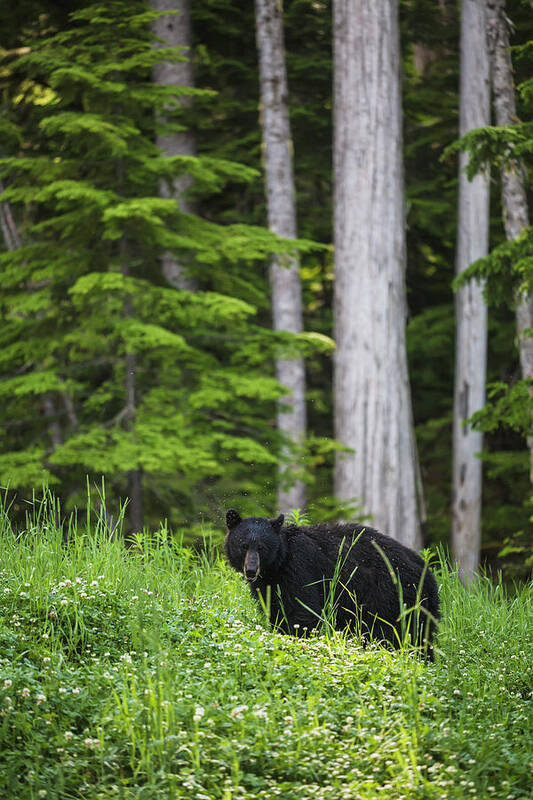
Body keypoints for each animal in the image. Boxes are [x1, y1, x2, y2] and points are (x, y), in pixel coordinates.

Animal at [223, 510, 436, 660]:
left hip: (391, 596)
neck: (279, 563)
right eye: (243, 546)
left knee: (390, 632)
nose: (251, 570)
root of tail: (426, 572)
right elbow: (277, 610)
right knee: (421, 634)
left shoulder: (300, 567)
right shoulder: (270, 585)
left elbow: (303, 610)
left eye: (261, 547)